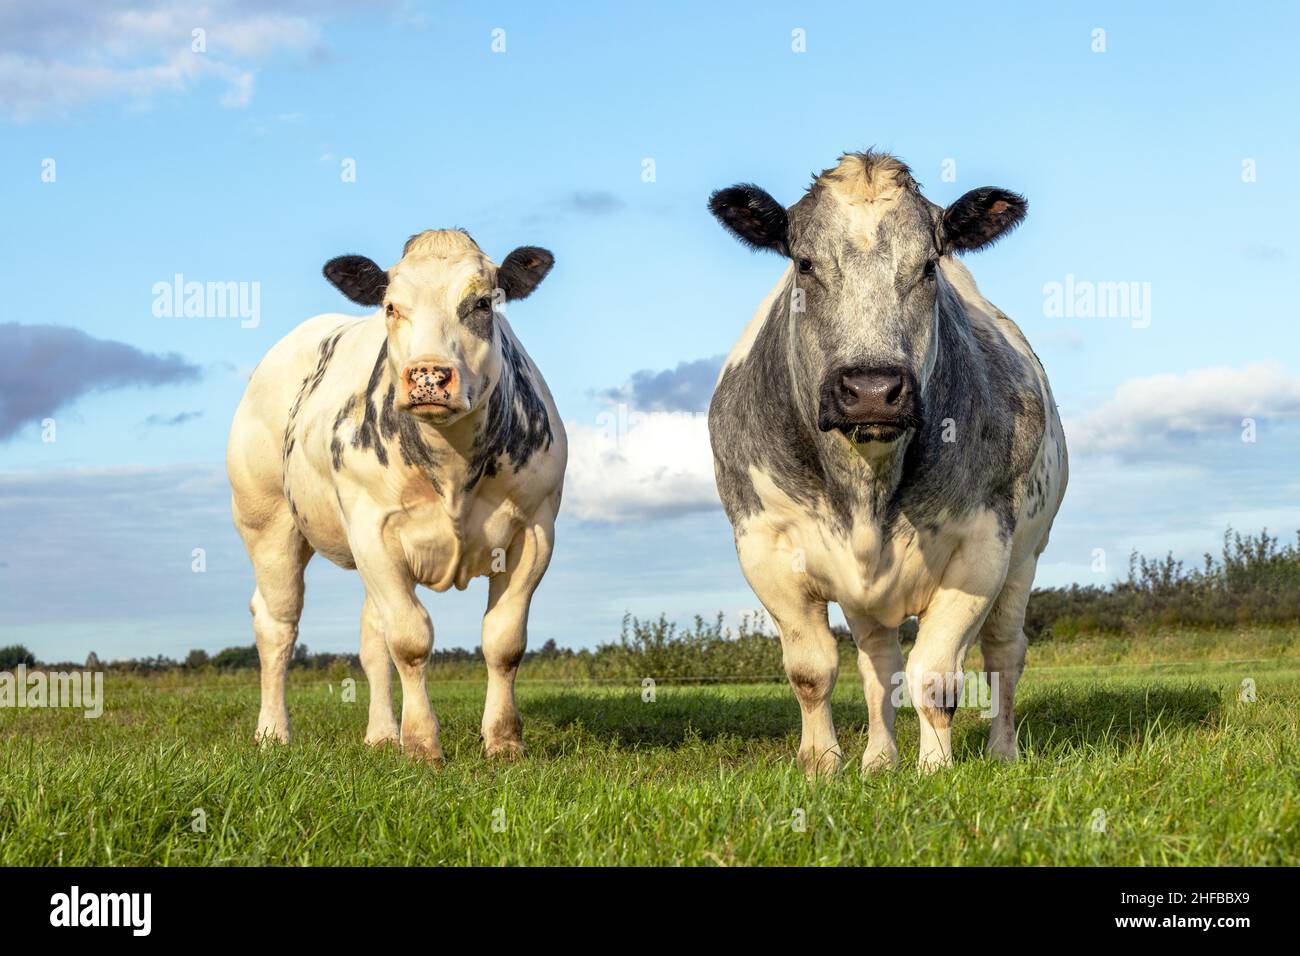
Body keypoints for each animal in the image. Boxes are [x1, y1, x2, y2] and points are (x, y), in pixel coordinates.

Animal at [228, 230, 564, 764]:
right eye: (391, 306)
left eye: (482, 303)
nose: (428, 376)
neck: (452, 466)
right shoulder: (373, 530)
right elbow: (410, 639)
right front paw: (422, 744)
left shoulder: (536, 529)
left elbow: (503, 641)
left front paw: (504, 741)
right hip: (268, 522)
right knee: (277, 623)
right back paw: (273, 733)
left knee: (372, 637)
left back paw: (382, 734)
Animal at [712, 151, 1066, 780]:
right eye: (804, 263)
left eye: (928, 266)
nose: (872, 389)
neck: (866, 483)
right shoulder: (762, 546)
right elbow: (815, 670)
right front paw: (823, 764)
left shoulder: (983, 546)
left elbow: (936, 675)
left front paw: (935, 770)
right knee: (879, 663)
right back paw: (879, 759)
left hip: (1026, 556)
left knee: (1004, 653)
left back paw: (1002, 751)